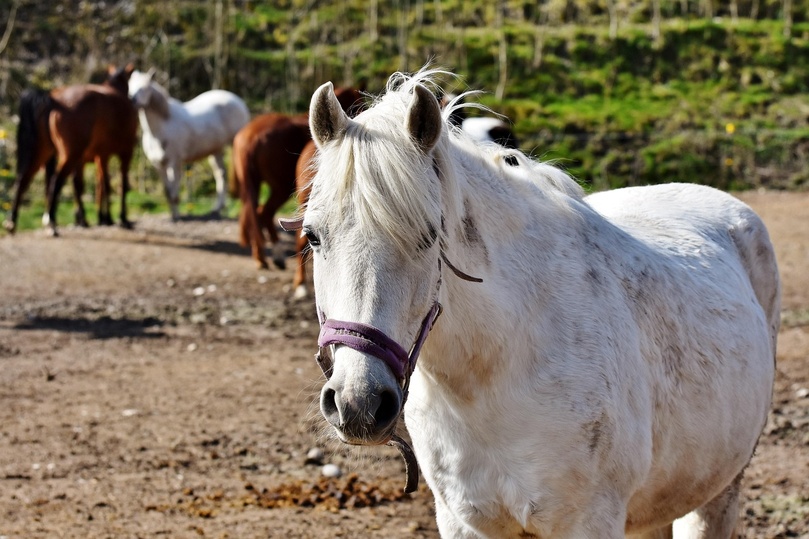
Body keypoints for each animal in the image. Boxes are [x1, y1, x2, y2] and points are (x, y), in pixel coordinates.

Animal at [3, 64, 138, 235]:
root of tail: (53, 100)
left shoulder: (101, 155)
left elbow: (102, 185)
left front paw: (104, 218)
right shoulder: (125, 151)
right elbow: (120, 184)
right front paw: (121, 218)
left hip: (43, 151)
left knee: (23, 180)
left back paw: (12, 221)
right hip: (70, 155)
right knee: (55, 182)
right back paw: (51, 222)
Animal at [128, 69, 250, 220]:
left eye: (144, 88)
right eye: (130, 87)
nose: (132, 100)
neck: (161, 128)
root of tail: (240, 102)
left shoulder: (174, 163)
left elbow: (174, 191)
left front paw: (177, 216)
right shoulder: (158, 165)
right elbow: (167, 191)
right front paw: (173, 216)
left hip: (234, 145)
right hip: (216, 150)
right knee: (221, 174)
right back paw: (216, 209)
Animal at [232, 86, 364, 270]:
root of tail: (251, 137)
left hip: (255, 184)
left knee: (254, 213)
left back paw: (262, 257)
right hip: (281, 187)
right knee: (263, 213)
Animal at [287, 69, 780, 538]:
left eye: (428, 237)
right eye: (313, 236)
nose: (358, 403)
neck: (496, 368)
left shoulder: (589, 523)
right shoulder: (464, 523)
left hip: (720, 490)